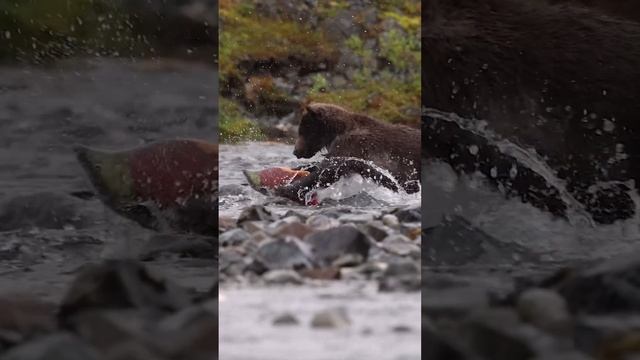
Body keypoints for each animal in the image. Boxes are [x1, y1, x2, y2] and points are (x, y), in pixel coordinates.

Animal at [274, 102, 420, 204]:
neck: (335, 132)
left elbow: (329, 169)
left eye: (304, 130)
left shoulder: (353, 145)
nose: (296, 151)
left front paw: (286, 189)